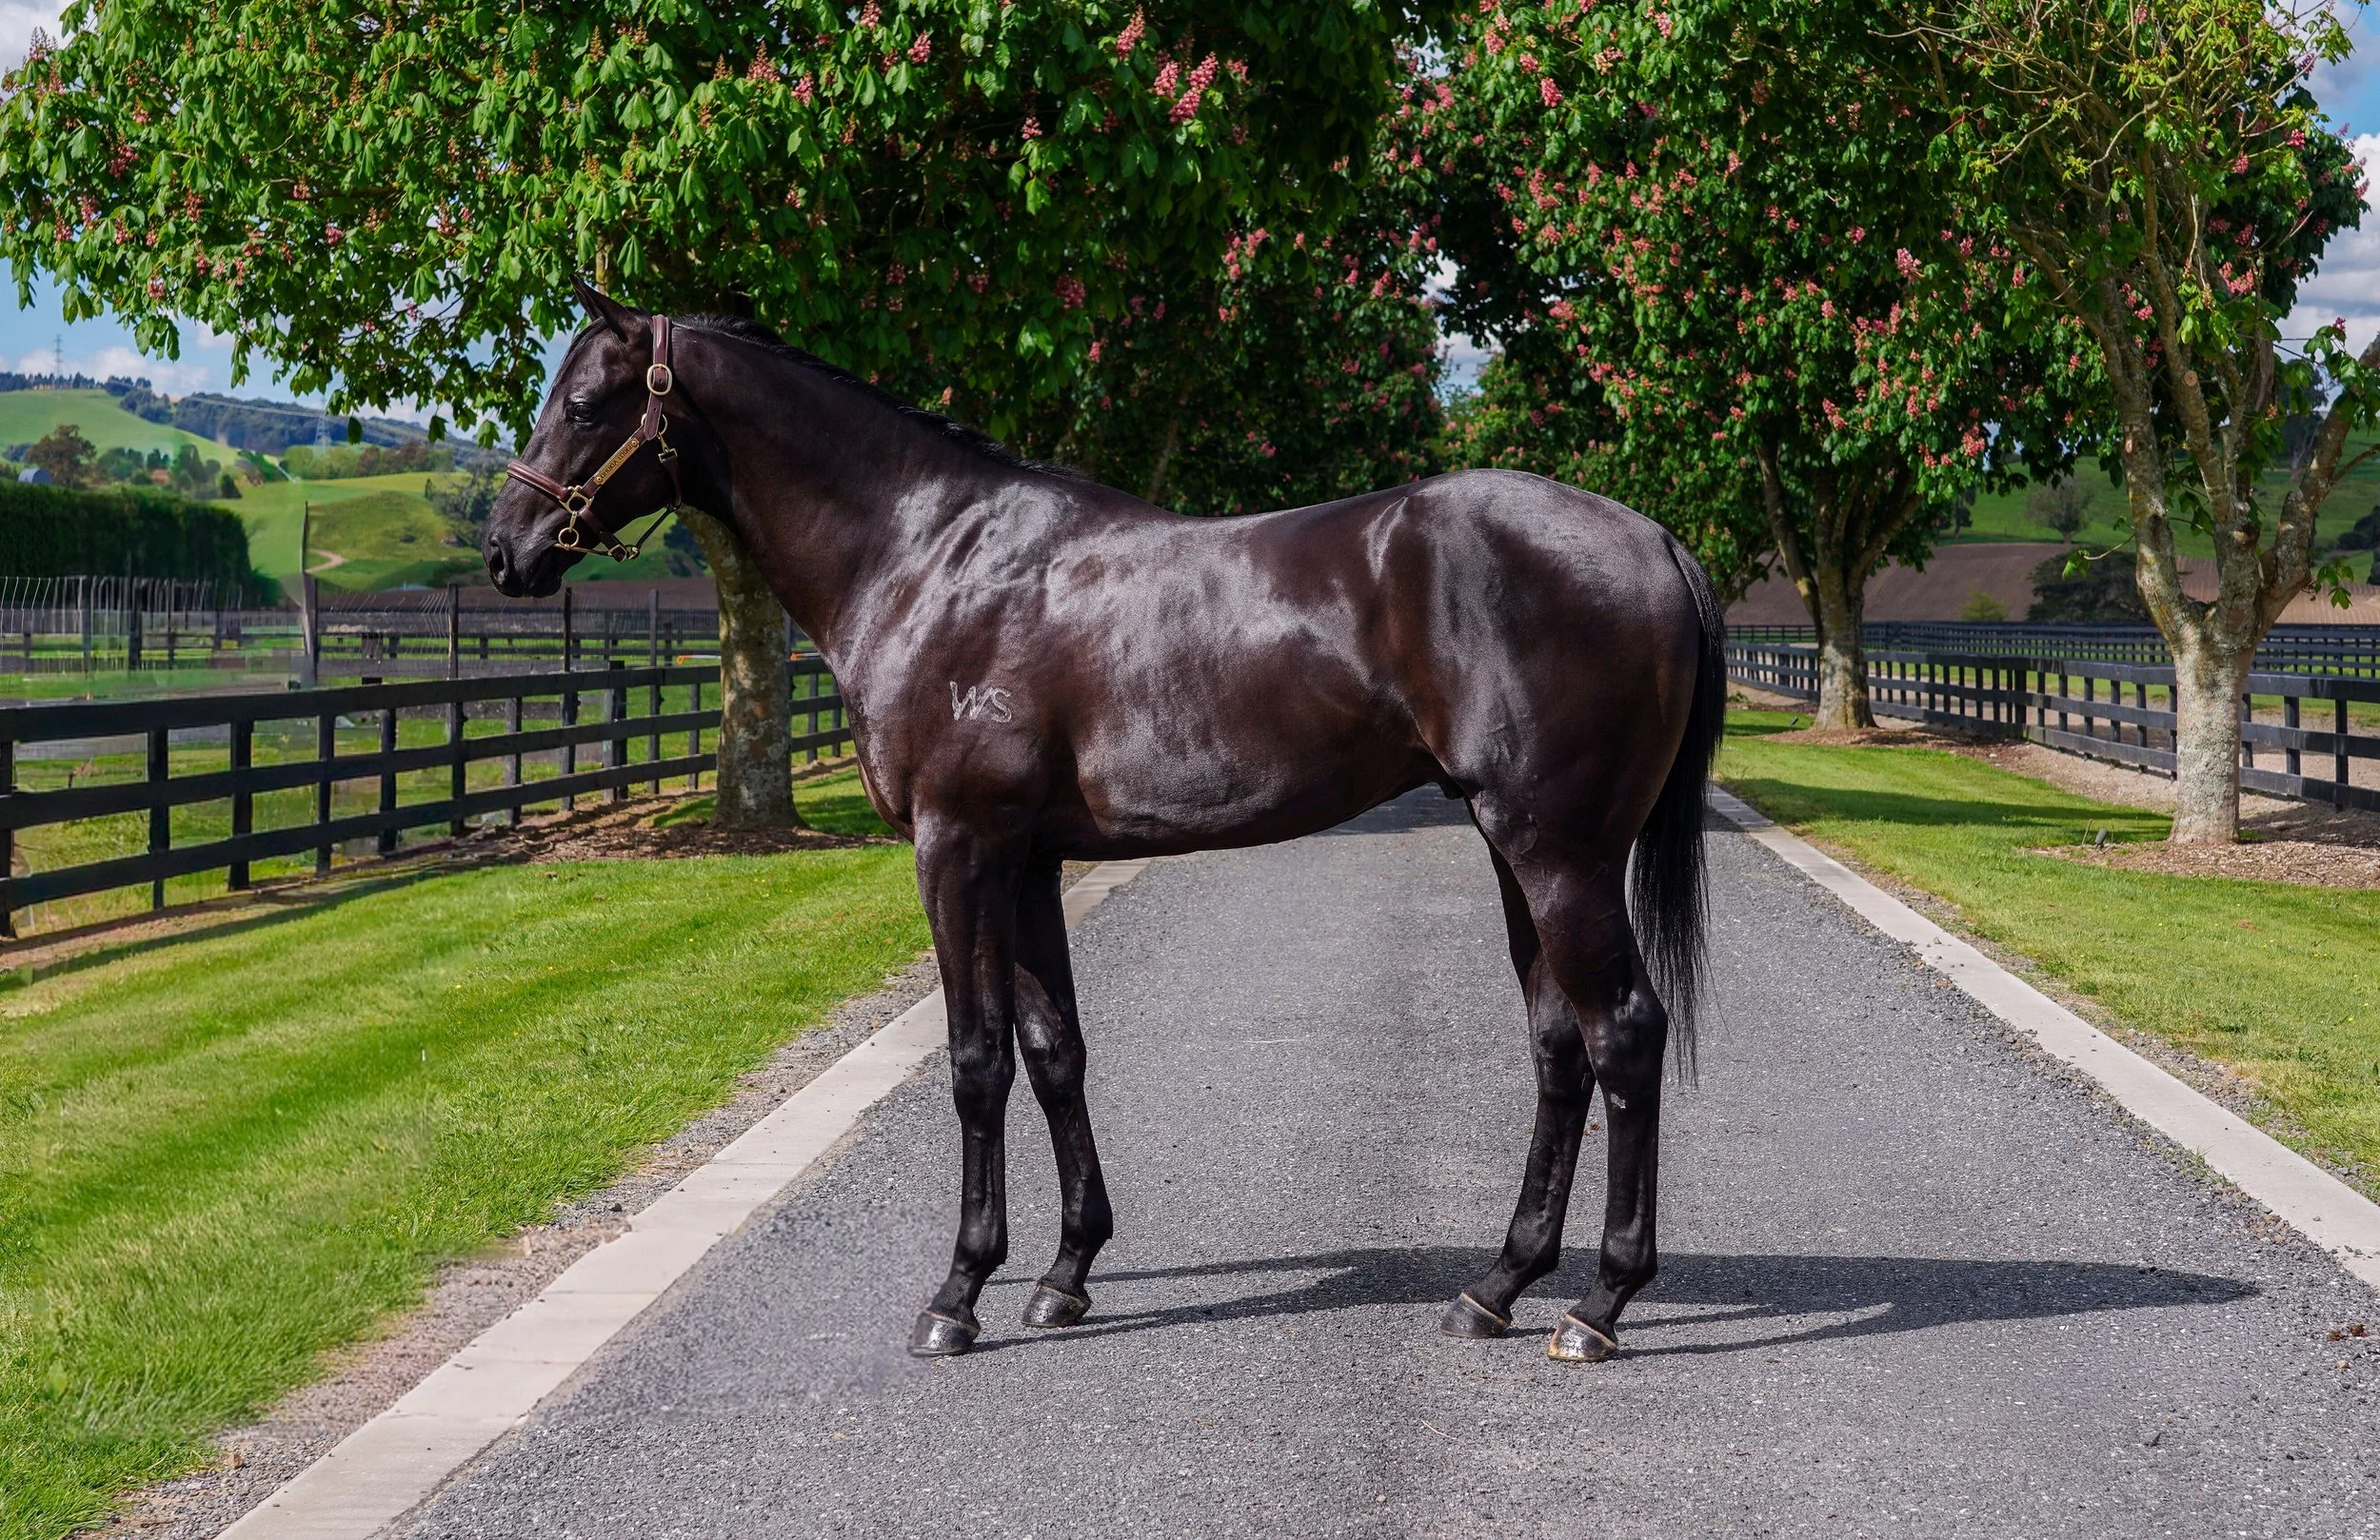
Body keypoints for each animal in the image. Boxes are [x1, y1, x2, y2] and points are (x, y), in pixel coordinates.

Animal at [485, 284, 1727, 1364]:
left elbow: (976, 1060)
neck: (929, 558)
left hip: (1557, 852)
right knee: (1560, 1045)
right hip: (1516, 849)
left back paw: (1599, 1307)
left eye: (586, 403)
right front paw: (1063, 1274)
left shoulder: (955, 848)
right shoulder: (1027, 860)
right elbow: (1054, 1052)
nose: (507, 550)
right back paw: (1497, 1287)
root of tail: (1654, 539)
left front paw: (957, 1294)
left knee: (1622, 1032)